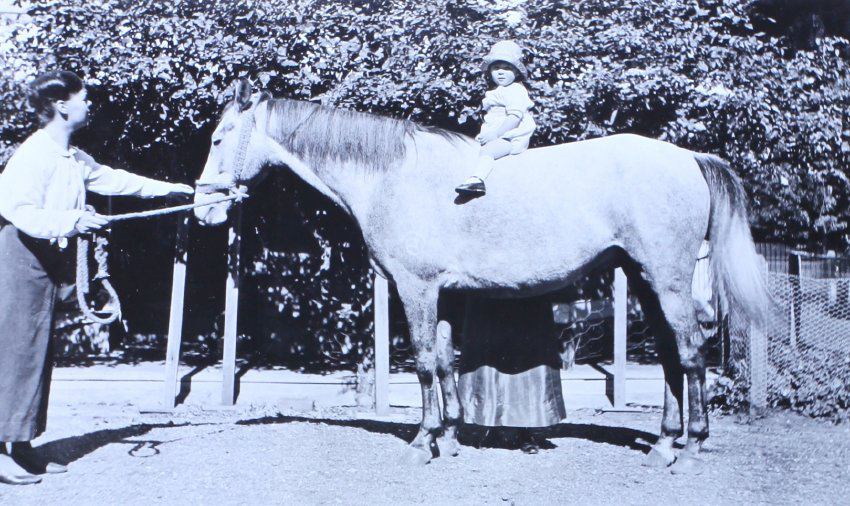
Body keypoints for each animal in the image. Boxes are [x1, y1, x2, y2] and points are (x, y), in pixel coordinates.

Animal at [193, 79, 771, 474]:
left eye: (220, 139)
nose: (204, 209)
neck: (390, 175)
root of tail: (689, 158)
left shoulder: (417, 288)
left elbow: (424, 362)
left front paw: (421, 442)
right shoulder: (444, 294)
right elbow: (447, 363)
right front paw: (448, 438)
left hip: (666, 281)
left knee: (691, 356)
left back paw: (691, 449)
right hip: (646, 281)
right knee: (674, 359)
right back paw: (664, 444)